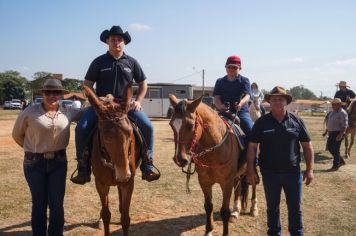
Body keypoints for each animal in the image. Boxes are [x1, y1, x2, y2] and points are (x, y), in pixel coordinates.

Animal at [83, 84, 138, 235]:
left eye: (129, 132)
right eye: (106, 136)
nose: (123, 173)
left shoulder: (128, 184)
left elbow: (125, 217)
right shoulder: (101, 184)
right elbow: (106, 214)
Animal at [168, 95, 254, 235]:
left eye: (191, 125)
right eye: (171, 124)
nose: (179, 159)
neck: (216, 148)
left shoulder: (226, 183)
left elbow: (224, 211)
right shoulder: (204, 182)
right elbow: (208, 207)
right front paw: (208, 230)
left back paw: (253, 209)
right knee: (239, 188)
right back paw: (235, 211)